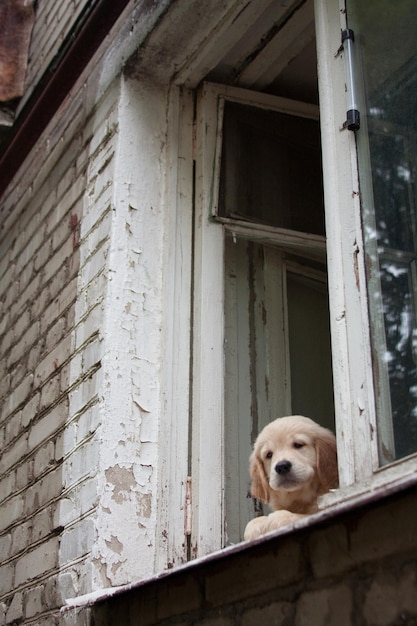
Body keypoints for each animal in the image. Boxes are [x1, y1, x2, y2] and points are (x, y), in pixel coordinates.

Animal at [244, 412, 338, 540]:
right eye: (269, 455)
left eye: (298, 445)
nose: (282, 466)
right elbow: (251, 523)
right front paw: (257, 525)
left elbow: (305, 516)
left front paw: (276, 518)